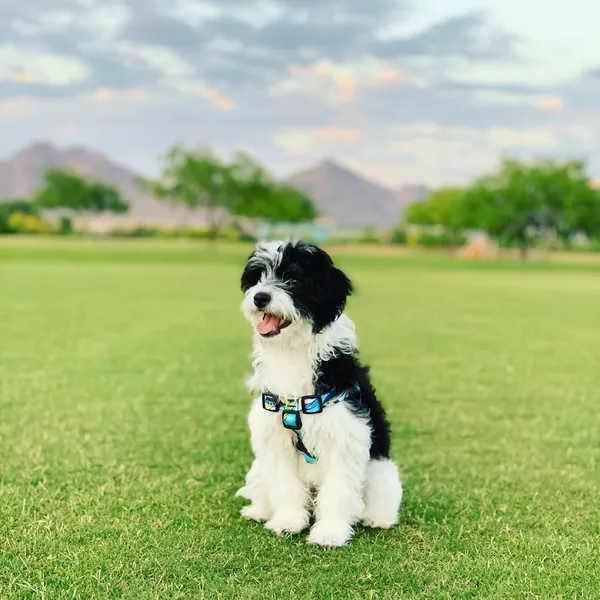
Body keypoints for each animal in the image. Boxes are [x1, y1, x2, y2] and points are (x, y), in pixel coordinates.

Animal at [236, 241, 404, 548]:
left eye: (293, 279)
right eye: (258, 278)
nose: (260, 297)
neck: (293, 352)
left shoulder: (344, 437)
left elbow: (338, 492)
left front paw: (330, 533)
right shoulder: (275, 440)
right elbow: (285, 486)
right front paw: (288, 522)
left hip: (380, 472)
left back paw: (379, 519)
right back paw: (258, 510)